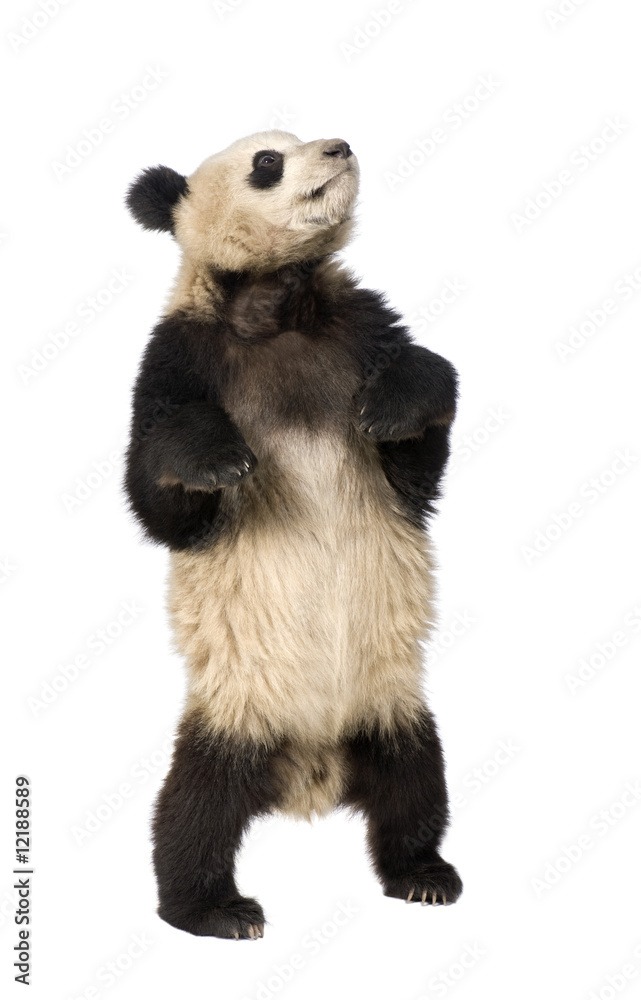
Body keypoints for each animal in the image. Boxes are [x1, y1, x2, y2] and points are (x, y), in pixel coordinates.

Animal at [124, 130, 462, 940]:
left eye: (302, 136)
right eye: (267, 163)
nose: (338, 147)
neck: (275, 304)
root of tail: (309, 772)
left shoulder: (360, 328)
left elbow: (418, 457)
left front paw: (393, 408)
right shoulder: (177, 355)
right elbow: (158, 501)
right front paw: (217, 458)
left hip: (391, 700)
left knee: (415, 782)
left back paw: (423, 874)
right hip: (235, 705)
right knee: (194, 807)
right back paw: (212, 908)